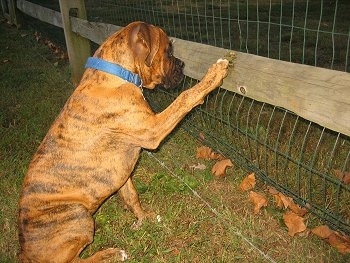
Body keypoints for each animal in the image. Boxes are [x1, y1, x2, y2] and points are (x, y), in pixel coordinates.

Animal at [18, 21, 230, 262]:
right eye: (168, 50)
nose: (182, 64)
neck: (117, 74)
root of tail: (24, 253)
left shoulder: (122, 174)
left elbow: (132, 197)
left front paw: (144, 218)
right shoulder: (154, 130)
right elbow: (184, 97)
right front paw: (214, 75)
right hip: (79, 217)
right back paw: (109, 254)